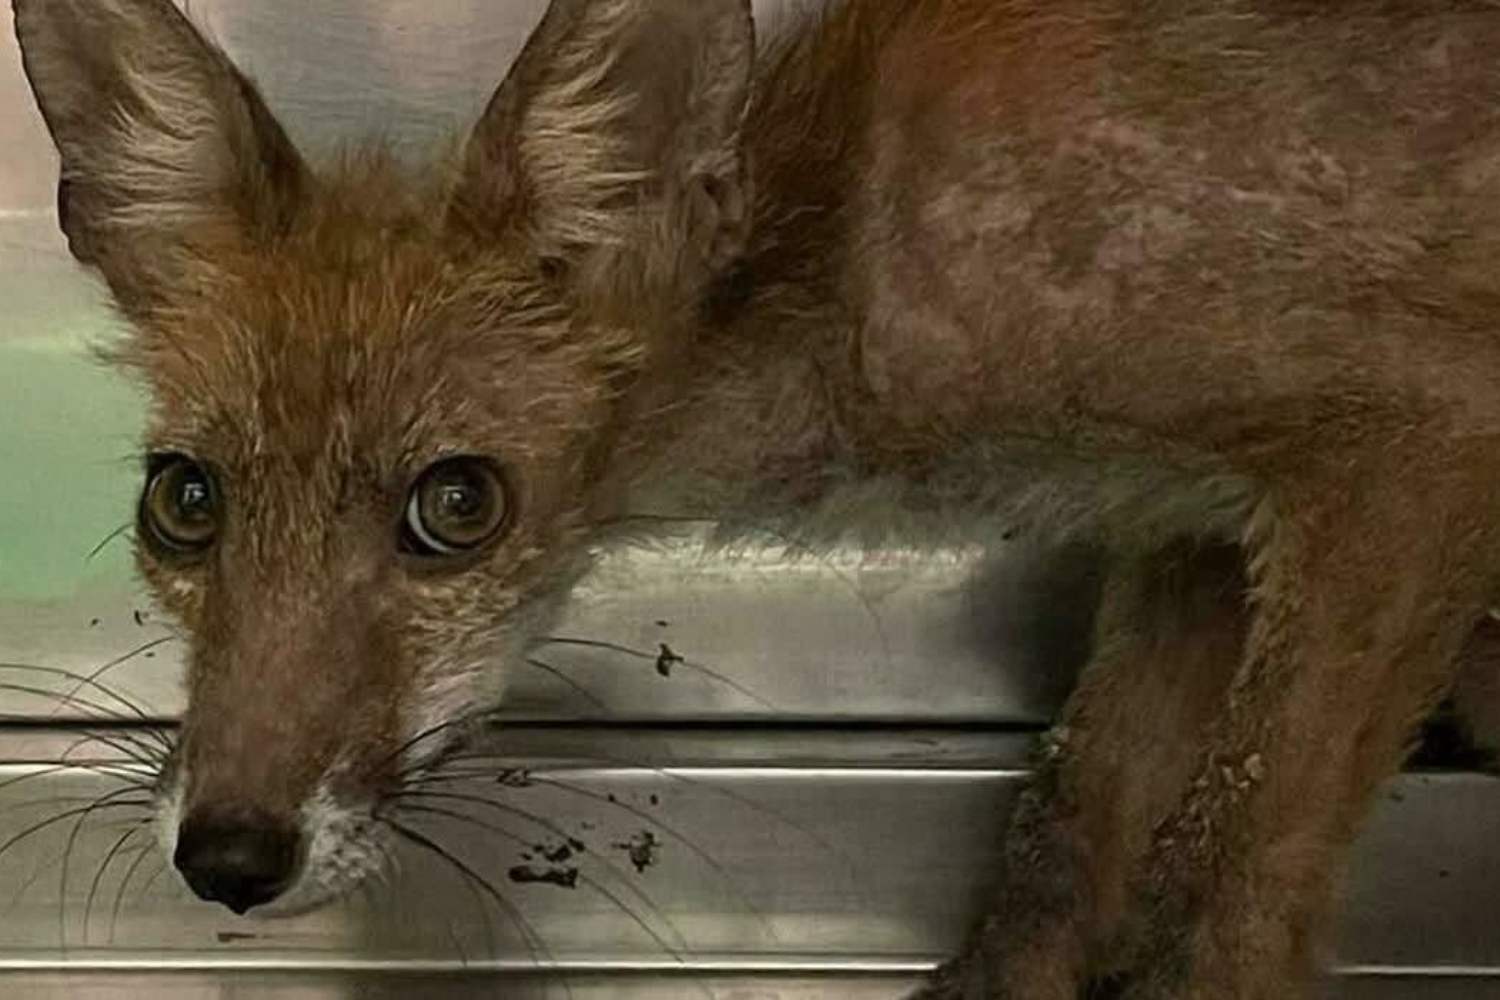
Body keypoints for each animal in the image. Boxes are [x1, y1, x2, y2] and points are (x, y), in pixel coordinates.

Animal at [16, 0, 1500, 995]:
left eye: (458, 505)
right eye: (185, 502)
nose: (228, 858)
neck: (853, 252)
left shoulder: (1413, 443)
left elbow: (1223, 895)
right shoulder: (1184, 532)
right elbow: (1059, 846)